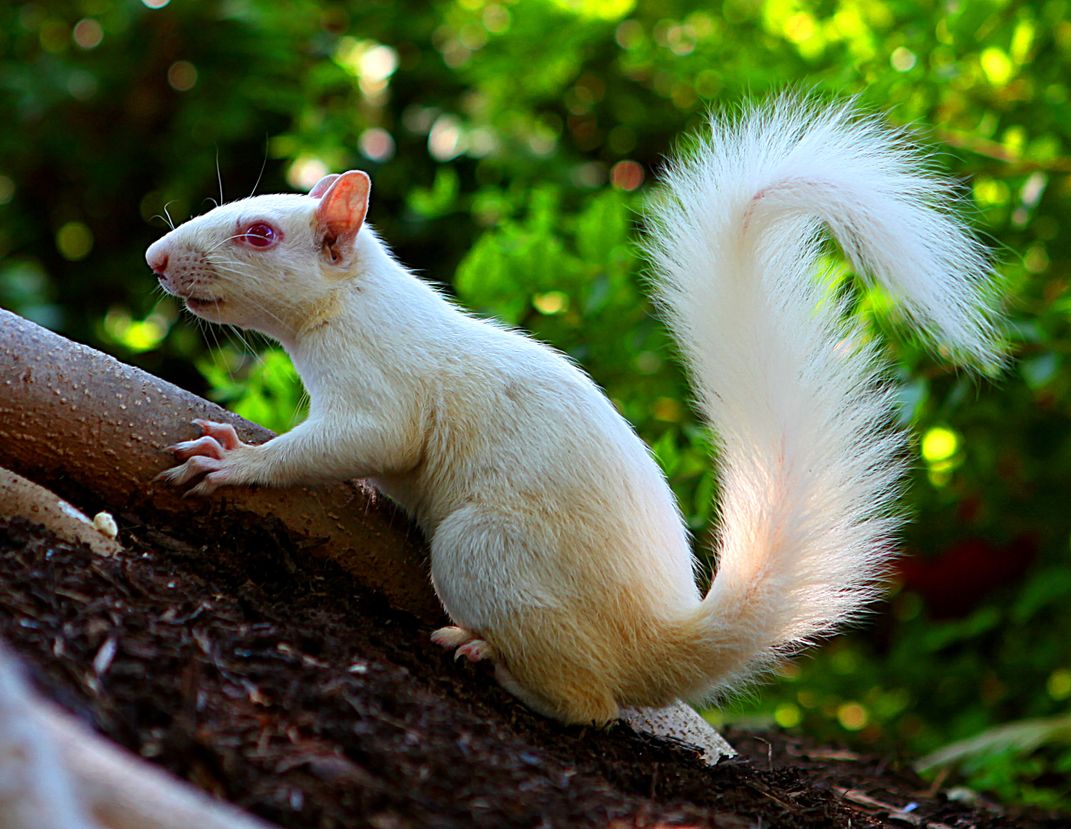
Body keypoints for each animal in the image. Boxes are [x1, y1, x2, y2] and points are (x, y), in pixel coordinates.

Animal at [146, 99, 998, 728]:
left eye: (260, 233)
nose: (155, 258)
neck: (350, 304)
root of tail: (656, 645)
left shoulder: (380, 389)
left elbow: (355, 441)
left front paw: (236, 461)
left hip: (481, 549)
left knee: (589, 705)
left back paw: (492, 660)